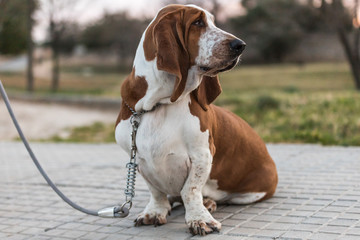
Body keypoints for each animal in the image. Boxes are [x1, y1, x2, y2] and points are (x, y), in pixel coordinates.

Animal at [115, 3, 278, 236]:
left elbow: (190, 190)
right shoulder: (138, 160)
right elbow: (156, 191)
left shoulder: (201, 154)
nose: (240, 45)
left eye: (213, 22)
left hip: (251, 192)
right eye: (198, 22)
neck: (159, 103)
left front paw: (200, 219)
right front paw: (154, 212)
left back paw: (208, 202)